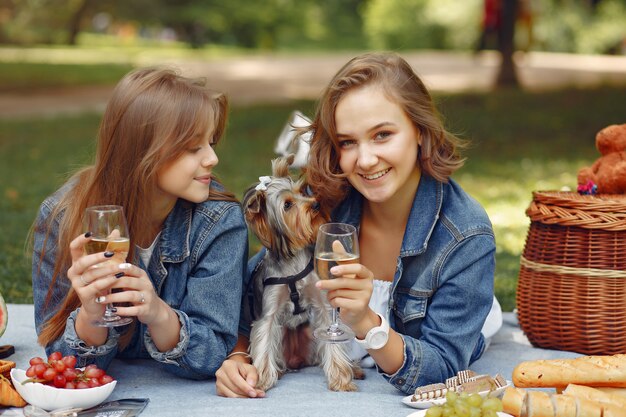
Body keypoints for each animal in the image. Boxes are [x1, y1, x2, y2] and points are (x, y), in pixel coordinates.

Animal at [243, 154, 360, 392]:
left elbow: (332, 339)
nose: (315, 203)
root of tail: (296, 360)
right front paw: (260, 380)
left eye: (301, 191)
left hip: (311, 335)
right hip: (282, 338)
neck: (293, 259)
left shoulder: (322, 305)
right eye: (287, 204)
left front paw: (341, 379)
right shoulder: (268, 312)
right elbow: (263, 339)